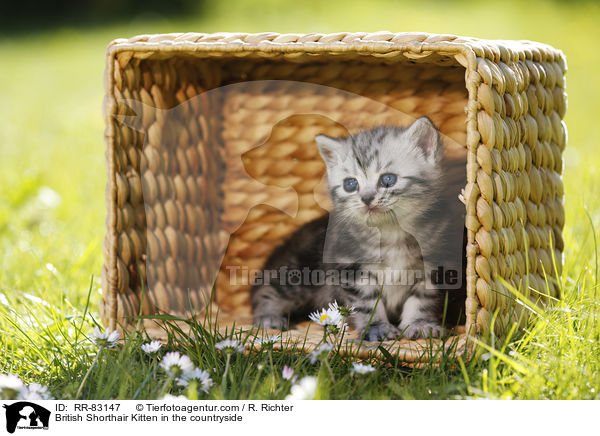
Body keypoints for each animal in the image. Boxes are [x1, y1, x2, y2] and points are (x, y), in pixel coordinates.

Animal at [248, 116, 464, 340]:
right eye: (350, 184)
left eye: (388, 179)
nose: (366, 199)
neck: (390, 232)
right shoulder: (352, 267)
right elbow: (366, 303)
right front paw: (377, 328)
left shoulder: (433, 263)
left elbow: (423, 298)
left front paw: (421, 324)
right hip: (301, 271)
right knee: (269, 290)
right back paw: (268, 318)